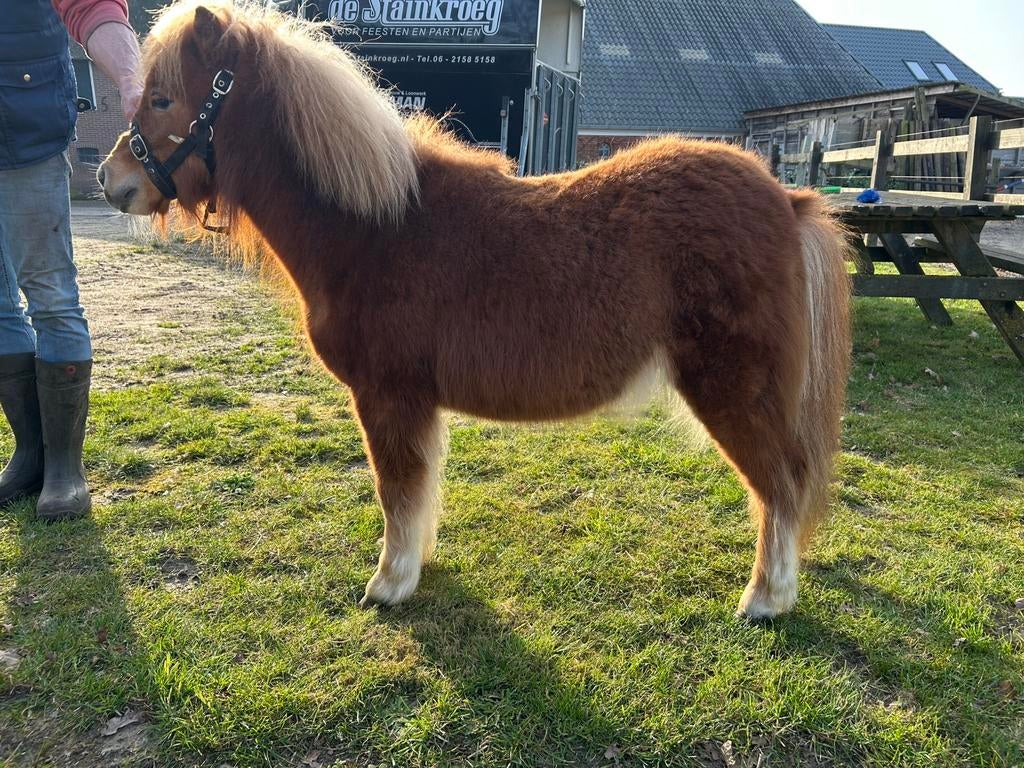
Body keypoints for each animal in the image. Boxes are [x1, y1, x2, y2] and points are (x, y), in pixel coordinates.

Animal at [97, 0, 851, 619]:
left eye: (163, 99)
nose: (110, 180)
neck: (376, 228)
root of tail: (786, 199)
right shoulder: (414, 403)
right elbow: (418, 487)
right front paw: (415, 565)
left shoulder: (388, 396)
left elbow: (396, 488)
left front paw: (390, 583)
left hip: (735, 390)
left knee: (780, 483)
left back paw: (766, 598)